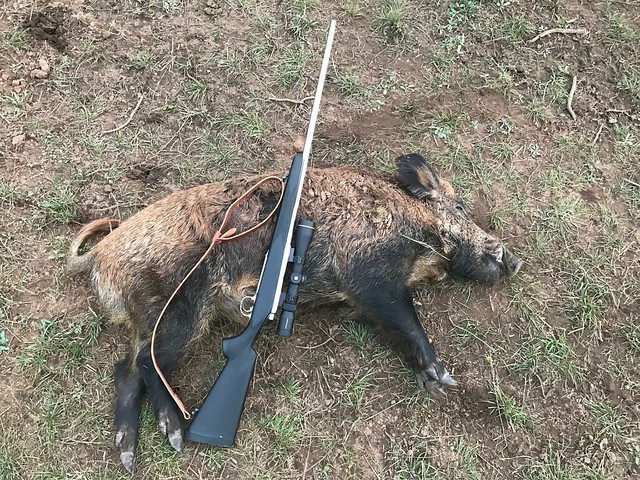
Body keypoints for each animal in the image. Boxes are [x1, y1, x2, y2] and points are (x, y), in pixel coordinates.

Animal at [67, 153, 521, 471]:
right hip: (177, 306)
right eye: (460, 208)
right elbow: (407, 319)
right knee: (145, 363)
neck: (412, 224)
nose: (514, 260)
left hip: (153, 317)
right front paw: (443, 379)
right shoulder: (369, 273)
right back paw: (176, 434)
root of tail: (99, 257)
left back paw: (129, 455)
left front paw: (436, 383)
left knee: (126, 369)